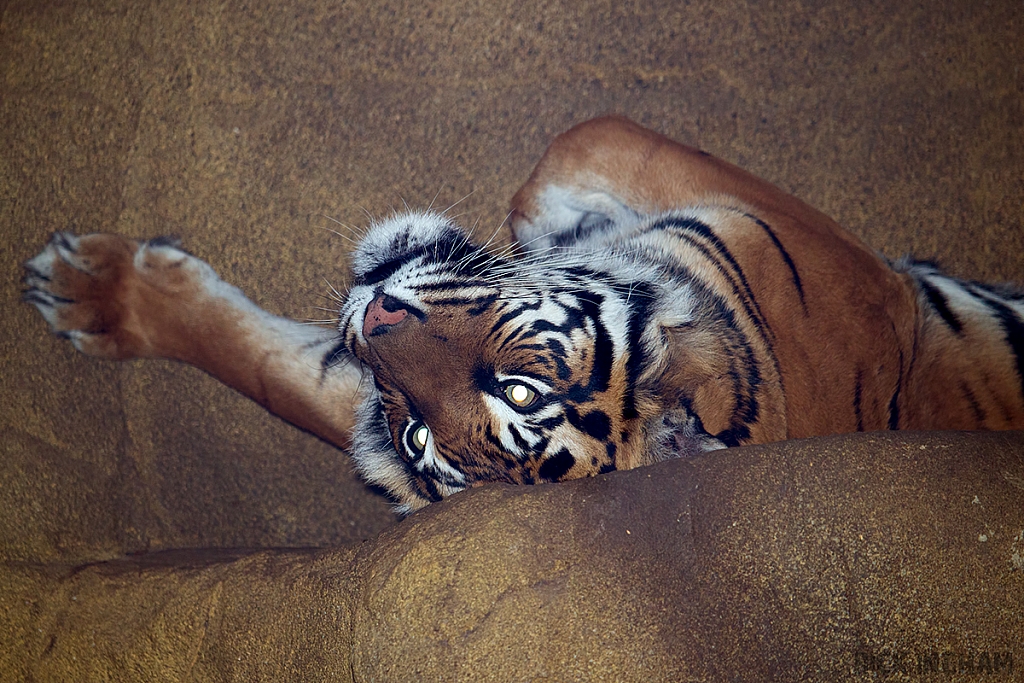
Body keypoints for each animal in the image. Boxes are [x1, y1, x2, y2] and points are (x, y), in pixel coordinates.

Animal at [22, 117, 1024, 511]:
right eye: (420, 432)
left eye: (518, 390)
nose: (374, 318)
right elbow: (264, 364)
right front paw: (90, 289)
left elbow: (578, 142)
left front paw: (542, 221)